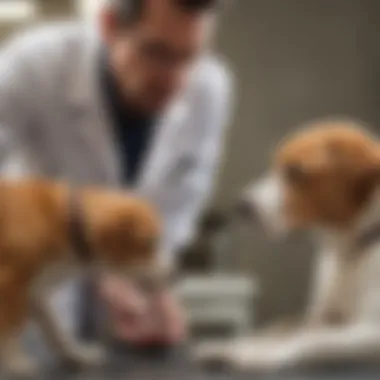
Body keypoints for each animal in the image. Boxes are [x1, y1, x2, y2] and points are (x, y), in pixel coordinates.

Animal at [0, 180, 160, 376]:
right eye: (150, 244)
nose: (171, 273)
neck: (64, 222)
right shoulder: (10, 282)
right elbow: (7, 328)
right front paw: (14, 362)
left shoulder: (34, 290)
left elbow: (55, 328)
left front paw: (75, 354)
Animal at [196, 120, 380, 372]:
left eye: (295, 171)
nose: (242, 205)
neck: (349, 254)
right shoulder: (318, 318)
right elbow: (278, 330)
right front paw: (231, 346)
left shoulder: (370, 330)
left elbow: (307, 339)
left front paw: (254, 355)